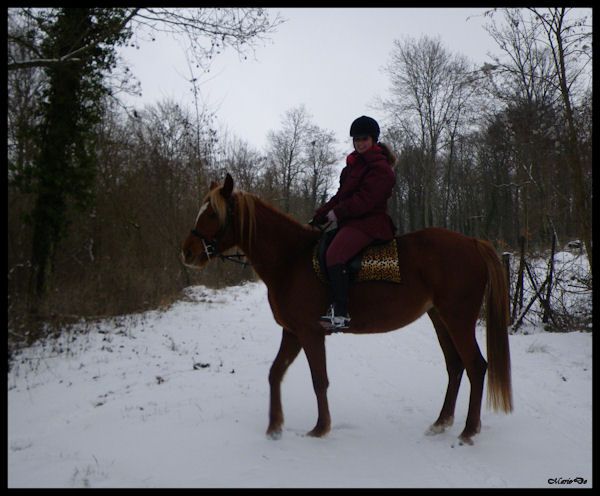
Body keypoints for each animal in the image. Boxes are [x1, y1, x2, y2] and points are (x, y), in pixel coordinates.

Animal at [181, 173, 513, 446]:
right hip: (440, 318)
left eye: (212, 213)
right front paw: (274, 427)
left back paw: (468, 431)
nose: (187, 252)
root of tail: (473, 242)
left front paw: (320, 428)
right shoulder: (292, 332)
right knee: (455, 366)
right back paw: (441, 423)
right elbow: (275, 373)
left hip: (458, 318)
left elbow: (319, 380)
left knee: (476, 366)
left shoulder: (310, 333)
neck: (290, 259)